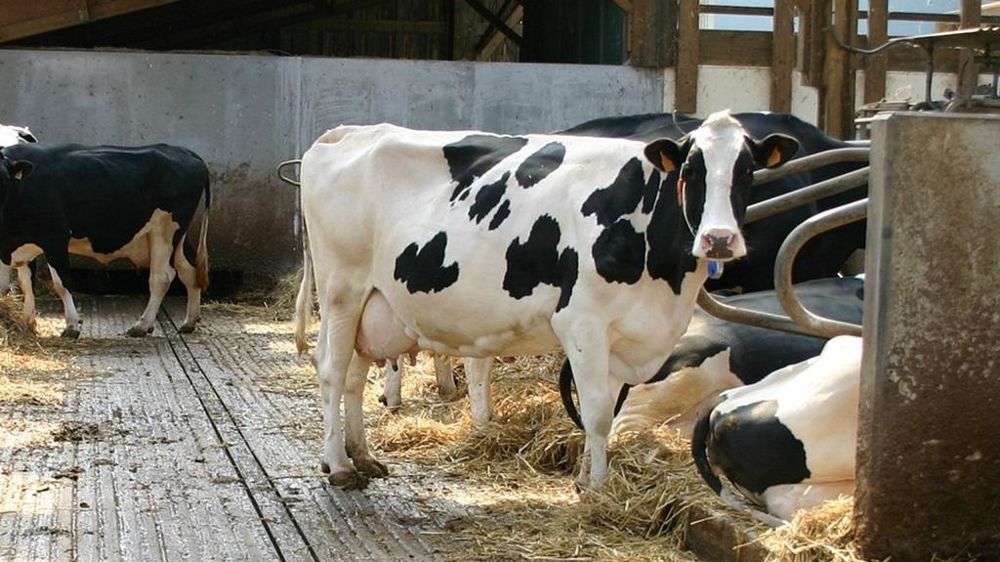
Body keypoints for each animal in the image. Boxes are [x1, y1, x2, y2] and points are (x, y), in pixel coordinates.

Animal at [0, 142, 210, 338]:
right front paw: (28, 324)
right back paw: (189, 321)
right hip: (177, 236)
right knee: (189, 270)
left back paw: (142, 326)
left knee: (162, 277)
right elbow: (22, 283)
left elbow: (61, 284)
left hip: (165, 229)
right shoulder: (16, 245)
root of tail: (184, 152)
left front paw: (72, 326)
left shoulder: (55, 237)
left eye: (4, 177)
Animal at [294, 110, 800, 489]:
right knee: (332, 372)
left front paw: (584, 478)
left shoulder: (626, 334)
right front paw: (598, 488)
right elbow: (596, 411)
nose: (719, 239)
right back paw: (339, 466)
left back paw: (362, 456)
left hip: (373, 305)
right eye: (692, 170)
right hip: (342, 291)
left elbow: (607, 410)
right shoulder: (583, 321)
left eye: (748, 170)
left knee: (355, 377)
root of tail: (348, 132)